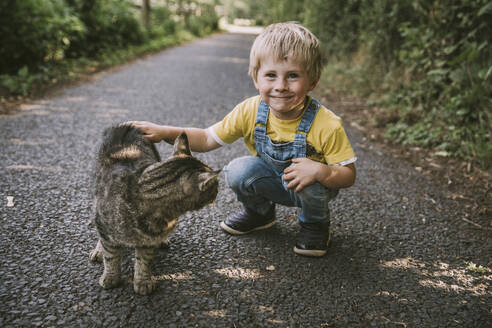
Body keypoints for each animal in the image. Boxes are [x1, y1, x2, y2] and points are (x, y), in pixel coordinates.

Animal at [89, 123, 219, 294]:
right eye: (215, 185)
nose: (219, 190)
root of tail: (125, 124)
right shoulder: (104, 221)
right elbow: (111, 256)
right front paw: (111, 276)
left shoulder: (149, 241)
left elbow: (144, 261)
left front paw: (143, 281)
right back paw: (99, 250)